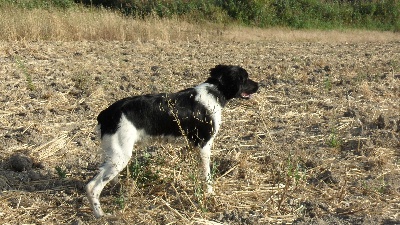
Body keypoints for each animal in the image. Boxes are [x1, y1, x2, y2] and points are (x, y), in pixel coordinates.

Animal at [86, 63, 258, 218]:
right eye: (245, 78)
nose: (259, 85)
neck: (214, 92)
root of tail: (107, 113)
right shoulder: (204, 145)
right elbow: (207, 175)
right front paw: (209, 193)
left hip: (111, 155)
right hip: (120, 157)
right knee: (91, 187)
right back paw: (100, 214)